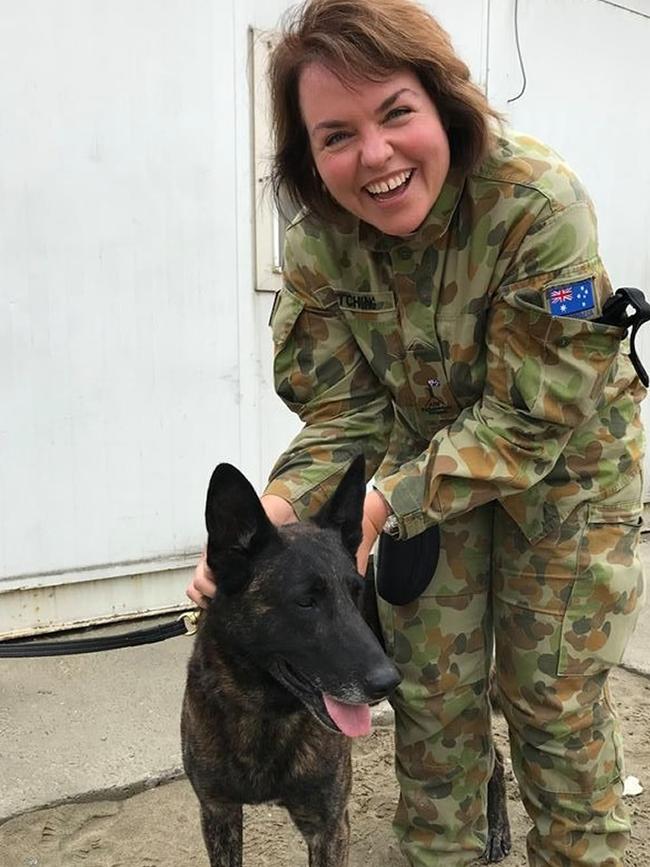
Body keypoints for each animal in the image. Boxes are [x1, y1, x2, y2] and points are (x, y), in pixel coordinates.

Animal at [180, 458, 508, 864]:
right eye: (305, 602)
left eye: (357, 592)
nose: (388, 680)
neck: (266, 714)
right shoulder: (218, 813)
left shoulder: (329, 826)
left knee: (491, 757)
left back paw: (497, 830)